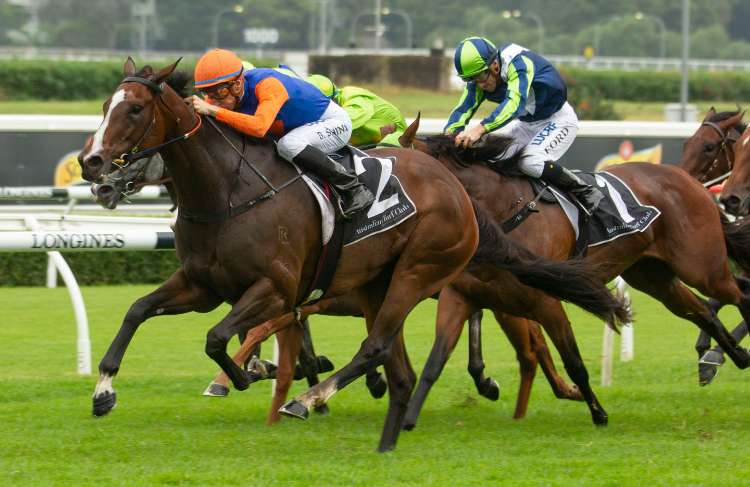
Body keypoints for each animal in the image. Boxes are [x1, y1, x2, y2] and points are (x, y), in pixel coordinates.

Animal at [77, 58, 621, 451]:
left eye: (134, 110)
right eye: (105, 104)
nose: (92, 163)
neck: (228, 191)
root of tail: (458, 191)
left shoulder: (275, 289)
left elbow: (220, 338)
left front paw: (249, 375)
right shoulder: (202, 284)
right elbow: (138, 311)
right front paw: (103, 391)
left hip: (419, 273)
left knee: (383, 345)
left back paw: (309, 399)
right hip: (381, 285)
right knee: (403, 358)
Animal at [395, 117, 750, 431]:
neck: (503, 207)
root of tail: (688, 181)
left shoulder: (544, 300)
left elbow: (572, 361)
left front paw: (598, 414)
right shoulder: (468, 295)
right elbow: (437, 359)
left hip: (701, 265)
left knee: (738, 293)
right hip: (653, 276)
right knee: (701, 310)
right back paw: (727, 358)